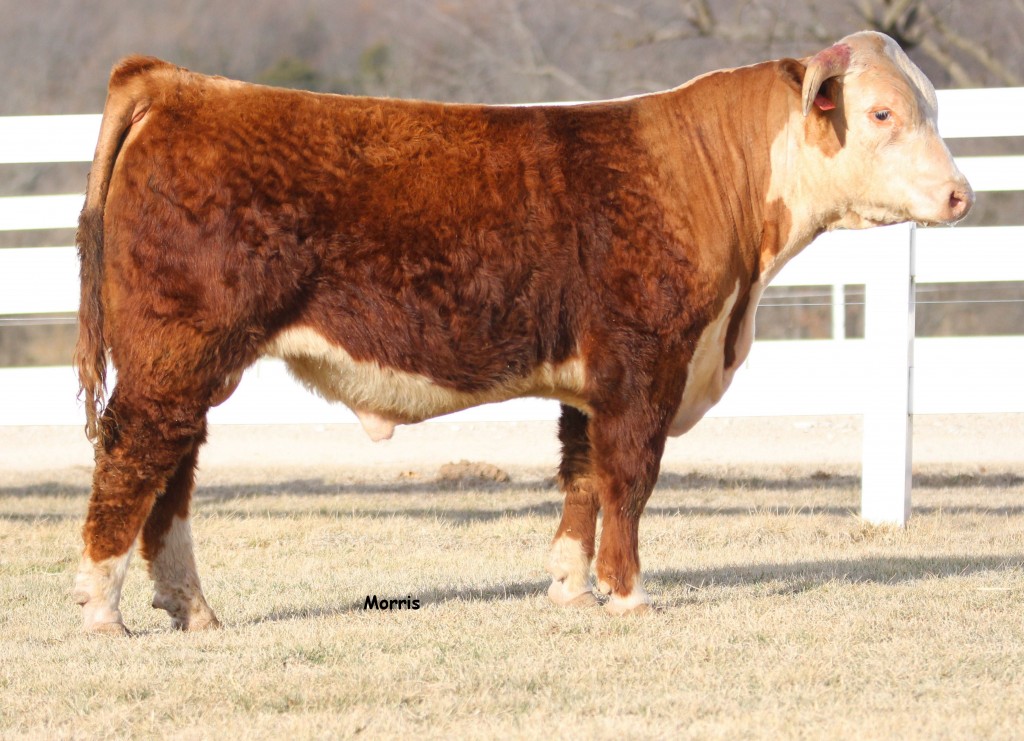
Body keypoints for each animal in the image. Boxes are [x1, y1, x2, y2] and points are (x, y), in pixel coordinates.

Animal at [74, 30, 974, 630]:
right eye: (882, 112)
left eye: (931, 108)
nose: (961, 194)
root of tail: (181, 84)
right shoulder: (645, 361)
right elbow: (629, 477)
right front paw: (629, 594)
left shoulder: (590, 379)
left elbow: (582, 476)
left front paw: (572, 587)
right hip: (177, 352)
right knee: (134, 456)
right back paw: (101, 610)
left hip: (191, 360)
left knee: (173, 470)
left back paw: (192, 611)